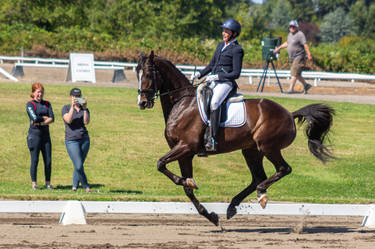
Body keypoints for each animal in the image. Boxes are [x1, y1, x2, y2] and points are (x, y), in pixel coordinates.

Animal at [137, 51, 336, 226]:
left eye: (147, 74)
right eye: (137, 73)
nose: (142, 103)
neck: (182, 103)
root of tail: (289, 113)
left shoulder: (186, 147)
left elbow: (160, 163)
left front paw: (188, 183)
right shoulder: (184, 153)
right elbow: (186, 187)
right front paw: (210, 215)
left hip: (268, 147)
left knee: (282, 169)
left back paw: (261, 194)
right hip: (251, 151)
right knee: (258, 177)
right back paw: (233, 206)